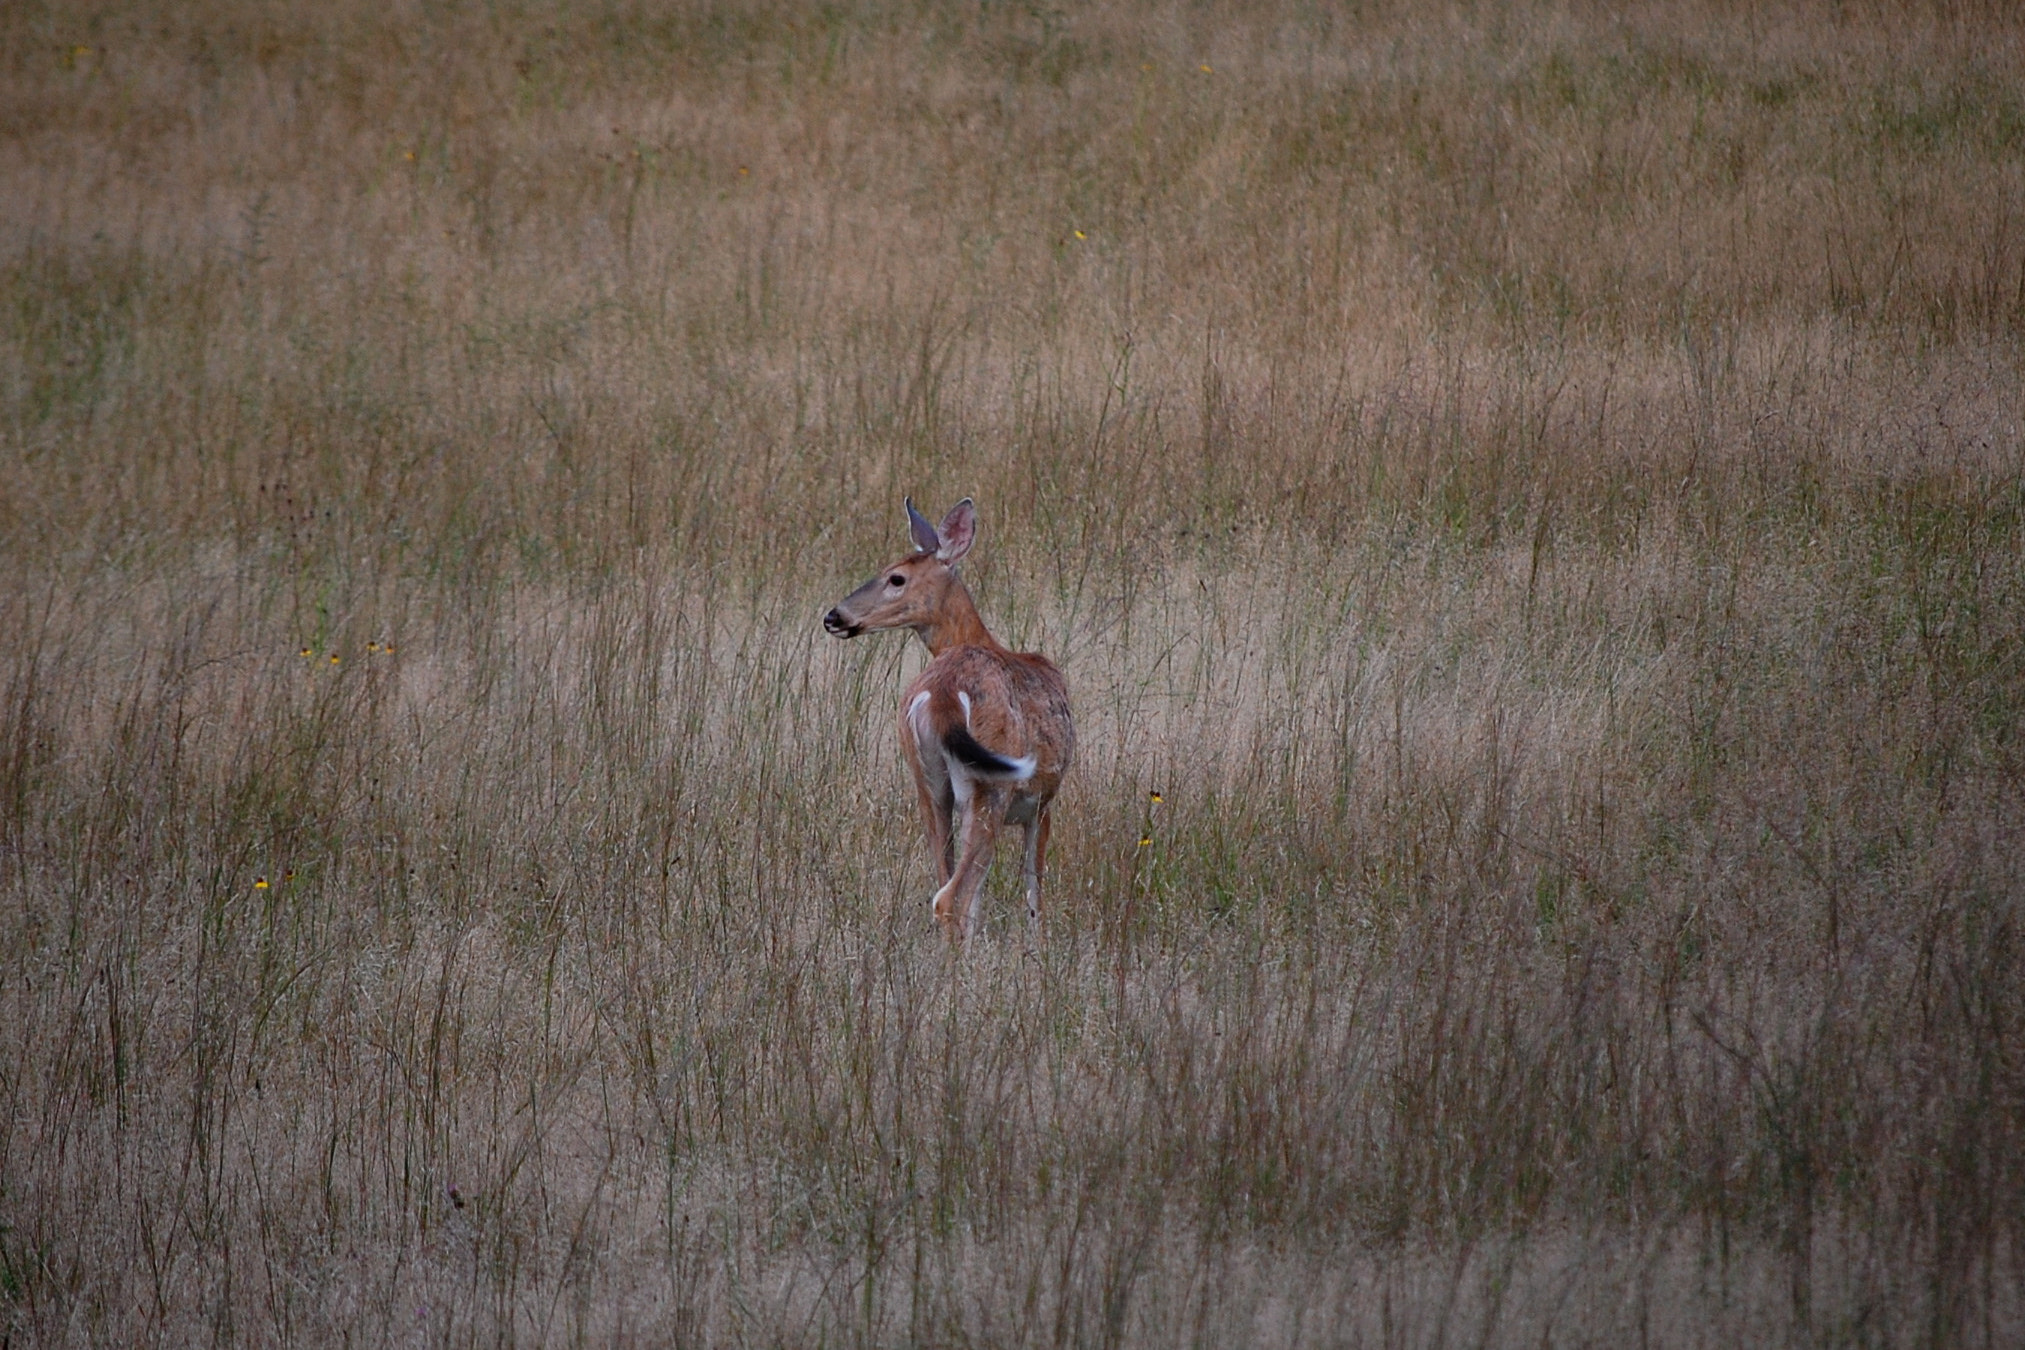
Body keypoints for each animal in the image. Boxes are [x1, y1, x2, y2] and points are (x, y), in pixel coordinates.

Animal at [824, 498, 1075, 944]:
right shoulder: (1044, 799)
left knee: (947, 889)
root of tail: (941, 694)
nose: (833, 617)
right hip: (990, 786)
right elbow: (1034, 890)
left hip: (927, 782)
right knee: (952, 899)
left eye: (895, 577)